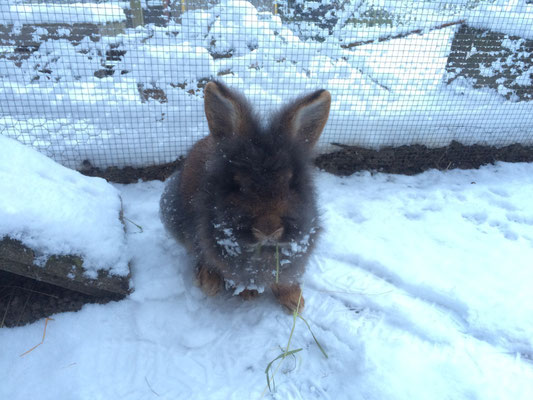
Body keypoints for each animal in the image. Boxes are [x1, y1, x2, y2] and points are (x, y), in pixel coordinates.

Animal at [160, 81, 330, 312]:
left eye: (290, 183)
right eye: (238, 184)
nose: (268, 229)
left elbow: (286, 282)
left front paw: (295, 303)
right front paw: (249, 294)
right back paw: (209, 282)